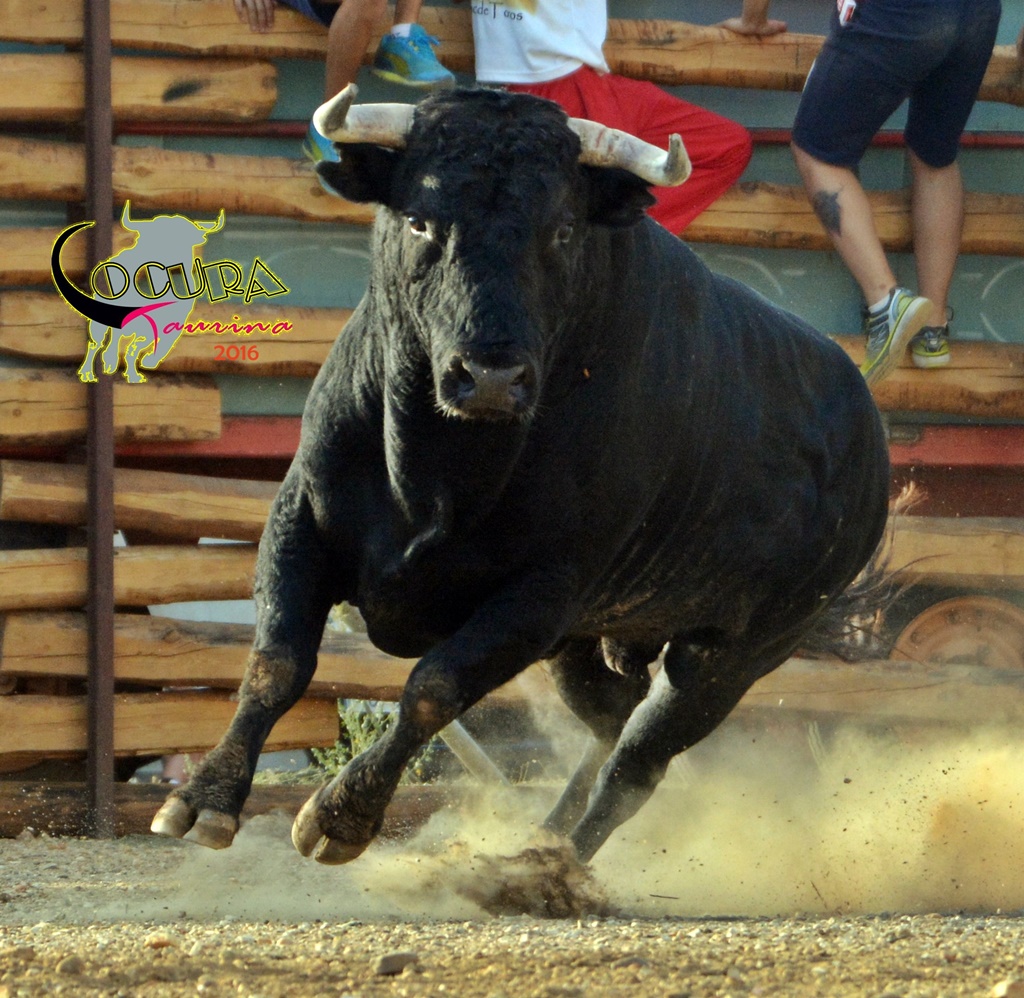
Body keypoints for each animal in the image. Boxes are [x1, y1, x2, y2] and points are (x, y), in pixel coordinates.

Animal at [152, 85, 890, 869]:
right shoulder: (301, 519)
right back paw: (542, 840)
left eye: (562, 229)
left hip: (730, 657)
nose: (491, 376)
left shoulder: (540, 596)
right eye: (419, 219)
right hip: (596, 642)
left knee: (637, 763)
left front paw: (339, 818)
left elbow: (432, 688)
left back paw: (552, 864)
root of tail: (869, 438)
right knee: (612, 720)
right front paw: (202, 802)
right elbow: (277, 661)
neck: (439, 467)